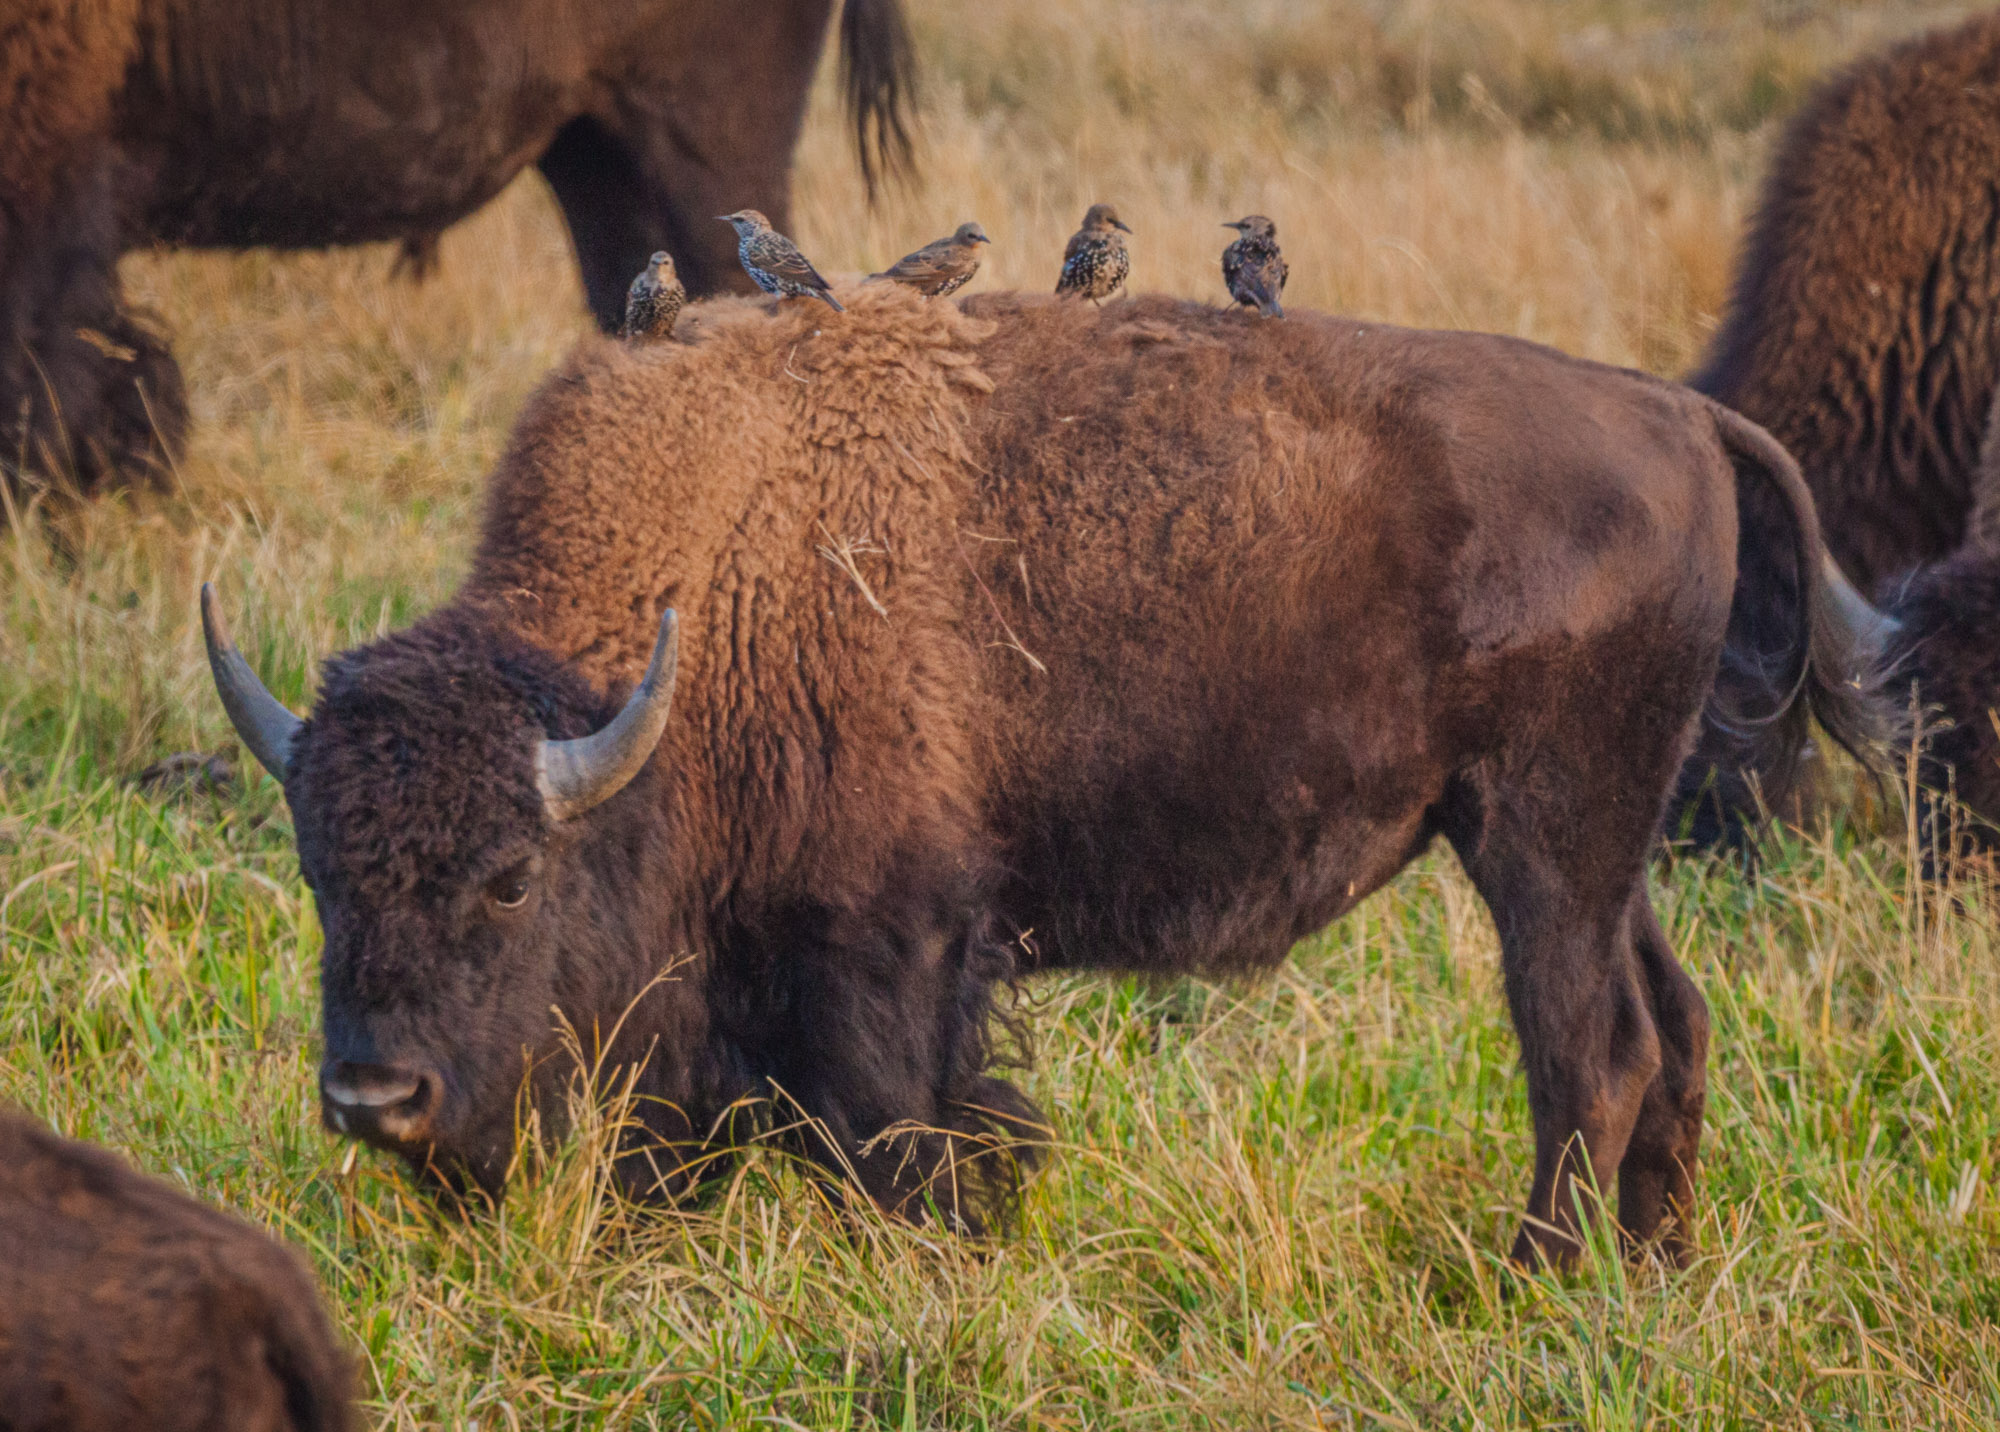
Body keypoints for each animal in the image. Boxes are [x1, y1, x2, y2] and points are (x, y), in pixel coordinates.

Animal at [202, 284, 1890, 1267]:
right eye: (319, 873)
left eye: (508, 878)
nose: (373, 1094)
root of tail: (1680, 412)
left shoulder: (885, 941)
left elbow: (897, 1129)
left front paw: (952, 1253)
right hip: (1594, 852)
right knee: (1672, 1024)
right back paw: (1647, 1270)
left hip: (1543, 840)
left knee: (1589, 1053)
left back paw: (1525, 1282)